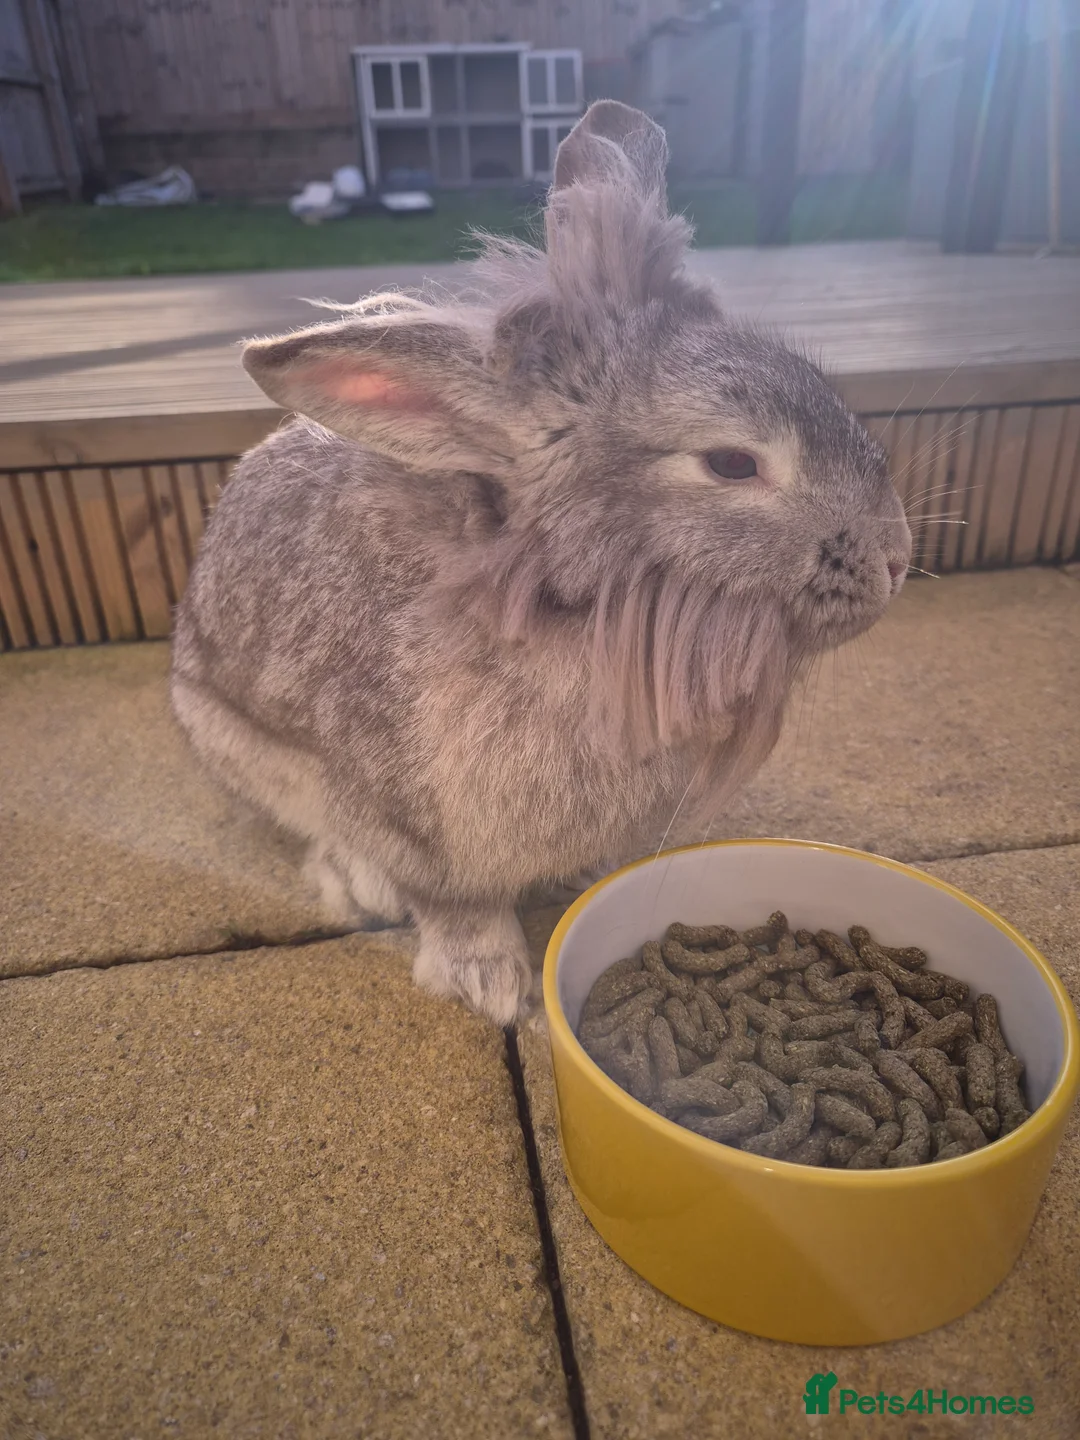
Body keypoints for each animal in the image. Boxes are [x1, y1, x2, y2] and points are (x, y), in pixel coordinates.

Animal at [170, 100, 912, 1027]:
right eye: (732, 464)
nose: (897, 558)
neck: (560, 603)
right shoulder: (416, 823)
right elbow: (453, 903)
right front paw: (494, 987)